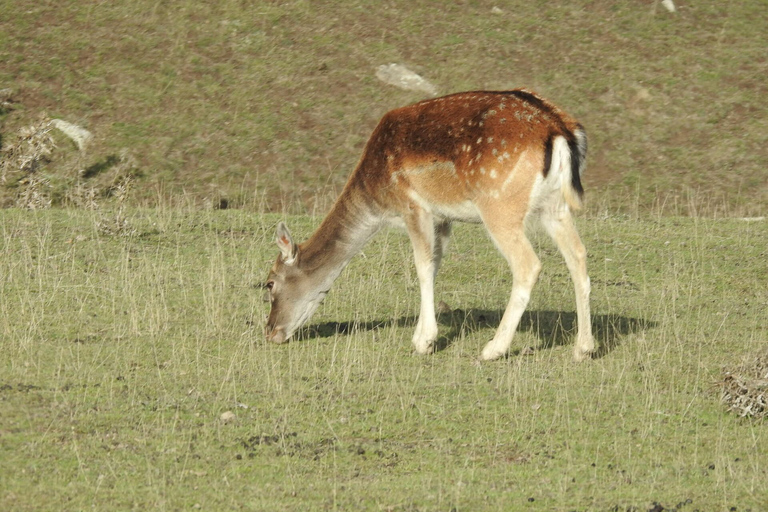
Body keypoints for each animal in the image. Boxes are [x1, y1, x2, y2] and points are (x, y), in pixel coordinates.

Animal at [264, 90, 592, 362]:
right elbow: (434, 265)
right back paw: (583, 348)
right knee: (578, 256)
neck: (377, 196)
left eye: (270, 283)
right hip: (554, 207)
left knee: (529, 265)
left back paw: (493, 349)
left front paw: (424, 341)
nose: (270, 331)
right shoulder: (442, 218)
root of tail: (559, 131)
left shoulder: (413, 206)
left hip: (499, 205)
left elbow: (421, 267)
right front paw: (423, 335)